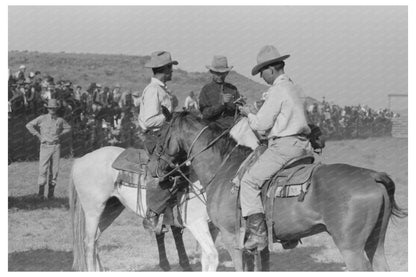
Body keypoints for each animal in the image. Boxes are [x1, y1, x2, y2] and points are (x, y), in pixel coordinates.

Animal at [147, 111, 406, 270]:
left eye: (160, 134)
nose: (154, 168)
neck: (223, 169)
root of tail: (373, 176)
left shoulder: (232, 237)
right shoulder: (256, 246)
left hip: (351, 248)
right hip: (375, 243)